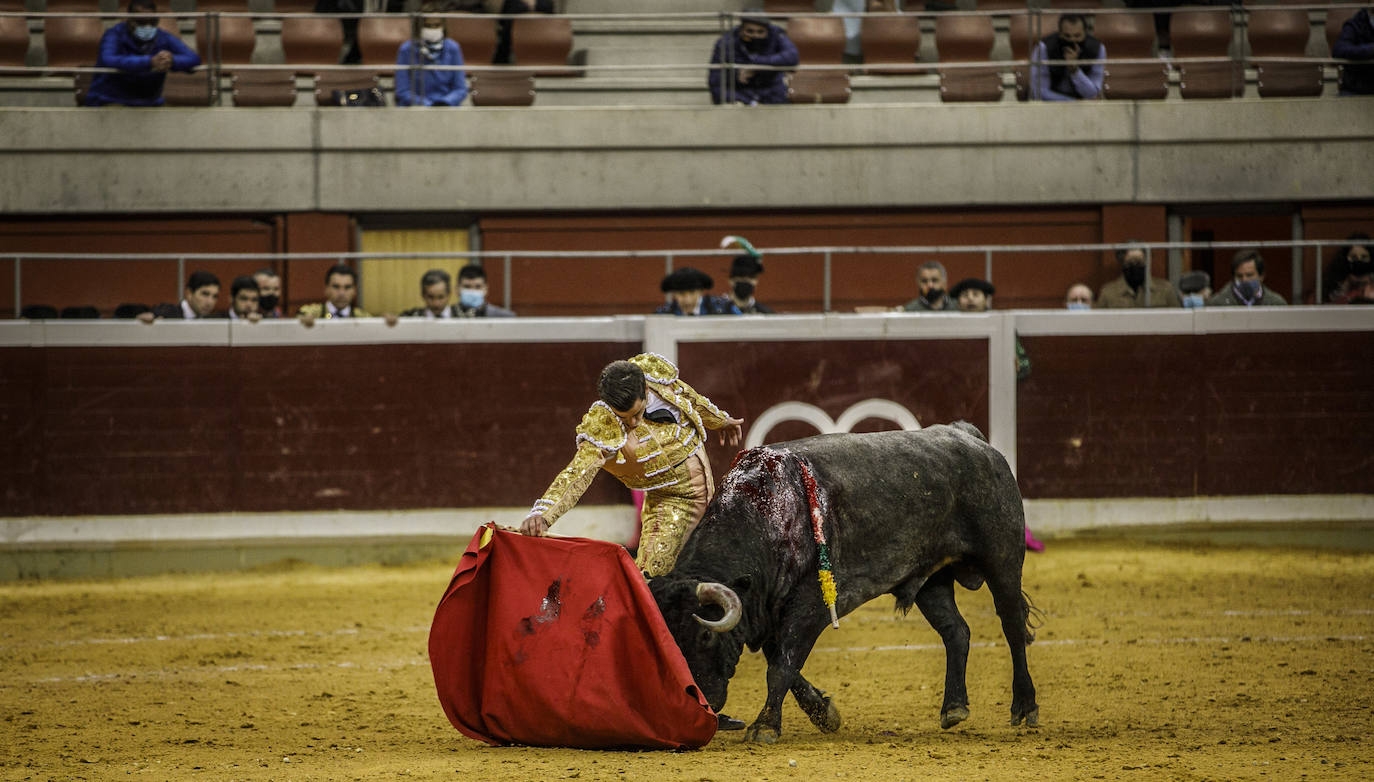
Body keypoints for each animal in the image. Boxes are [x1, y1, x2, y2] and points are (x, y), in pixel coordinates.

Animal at [648, 423, 1033, 742]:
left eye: (705, 635)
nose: (704, 702)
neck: (767, 513)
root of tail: (971, 437)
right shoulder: (768, 612)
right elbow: (785, 664)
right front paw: (824, 713)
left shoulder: (810, 605)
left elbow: (782, 666)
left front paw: (765, 727)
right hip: (930, 579)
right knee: (957, 631)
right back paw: (954, 706)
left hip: (1003, 561)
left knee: (1013, 627)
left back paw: (1025, 707)